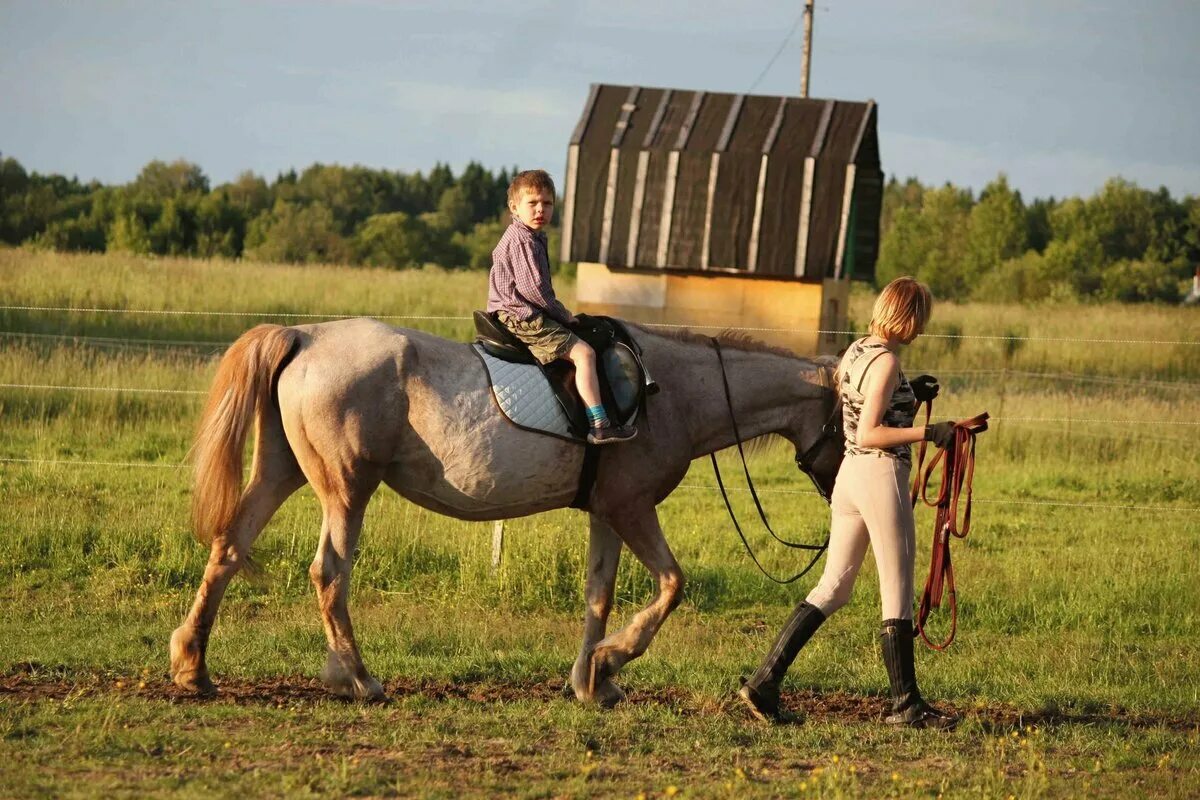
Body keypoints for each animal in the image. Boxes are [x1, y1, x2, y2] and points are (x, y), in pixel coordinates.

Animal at [169, 319, 840, 705]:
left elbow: (599, 594)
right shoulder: (632, 508)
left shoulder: (607, 513)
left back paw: (193, 667)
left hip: (280, 471)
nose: (844, 491)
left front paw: (591, 680)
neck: (669, 389)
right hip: (346, 490)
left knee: (229, 548)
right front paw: (612, 660)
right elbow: (672, 585)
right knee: (329, 574)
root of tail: (305, 335)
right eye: (856, 412)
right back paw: (358, 679)